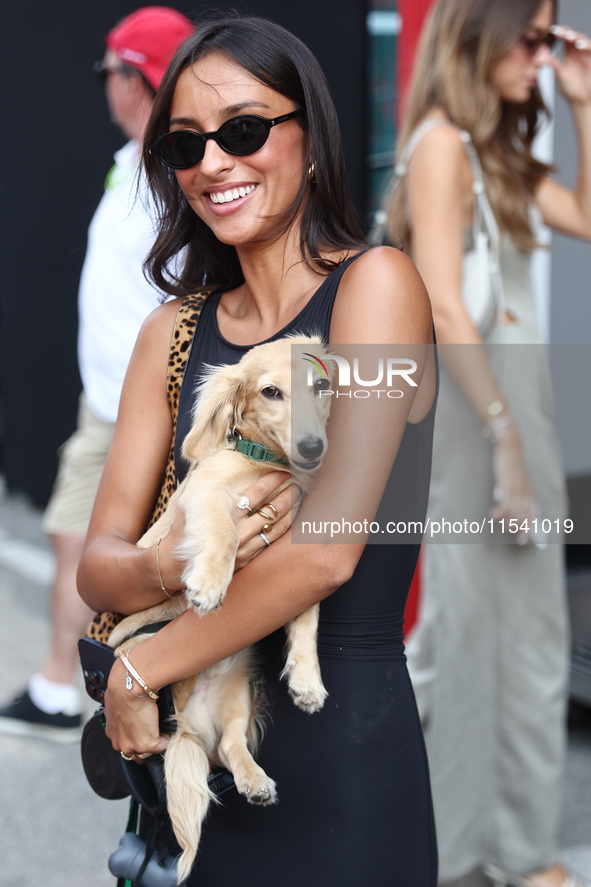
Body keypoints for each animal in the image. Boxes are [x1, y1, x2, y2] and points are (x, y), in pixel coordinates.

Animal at [110, 332, 332, 880]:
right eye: (271, 392)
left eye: (321, 386)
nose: (313, 448)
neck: (265, 462)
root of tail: (190, 726)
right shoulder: (207, 498)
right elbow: (227, 534)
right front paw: (210, 583)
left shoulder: (298, 551)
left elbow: (308, 617)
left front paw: (307, 679)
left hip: (237, 700)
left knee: (232, 745)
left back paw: (255, 781)